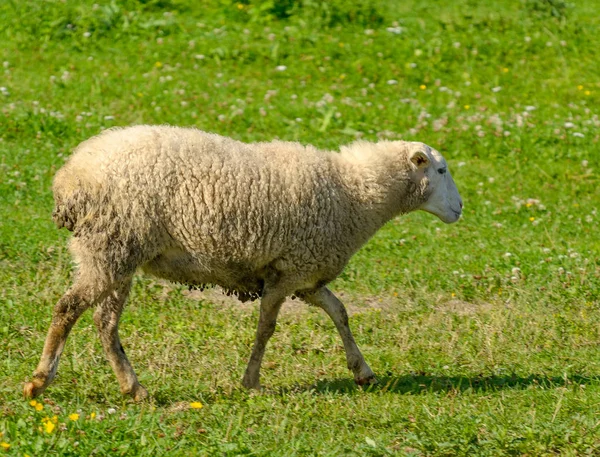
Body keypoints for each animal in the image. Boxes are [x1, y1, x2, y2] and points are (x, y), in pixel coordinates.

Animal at [22, 124, 464, 400]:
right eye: (441, 170)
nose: (460, 209)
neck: (353, 192)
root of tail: (69, 177)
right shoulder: (288, 273)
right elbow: (266, 328)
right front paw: (251, 381)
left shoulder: (303, 274)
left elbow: (339, 311)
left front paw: (362, 370)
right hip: (110, 246)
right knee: (68, 308)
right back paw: (40, 381)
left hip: (115, 253)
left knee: (104, 322)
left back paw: (133, 388)